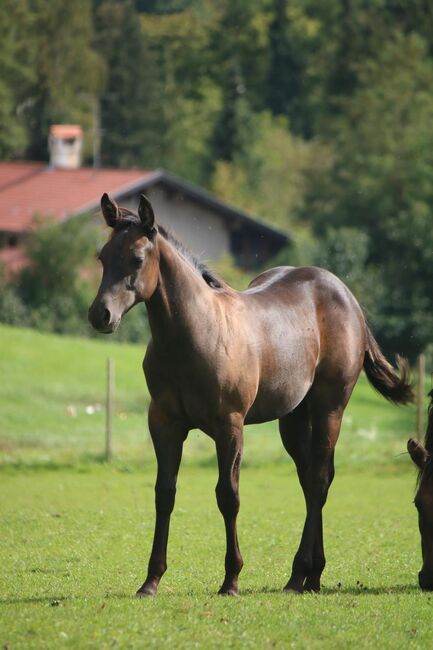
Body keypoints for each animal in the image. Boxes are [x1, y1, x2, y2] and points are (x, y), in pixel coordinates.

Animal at [87, 191, 412, 592]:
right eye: (102, 257)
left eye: (136, 258)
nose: (100, 315)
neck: (194, 334)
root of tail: (347, 297)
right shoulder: (164, 423)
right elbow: (165, 493)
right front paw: (151, 581)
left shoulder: (230, 426)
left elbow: (228, 496)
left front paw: (231, 579)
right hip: (293, 418)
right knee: (311, 479)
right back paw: (308, 575)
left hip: (329, 408)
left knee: (318, 481)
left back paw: (301, 575)